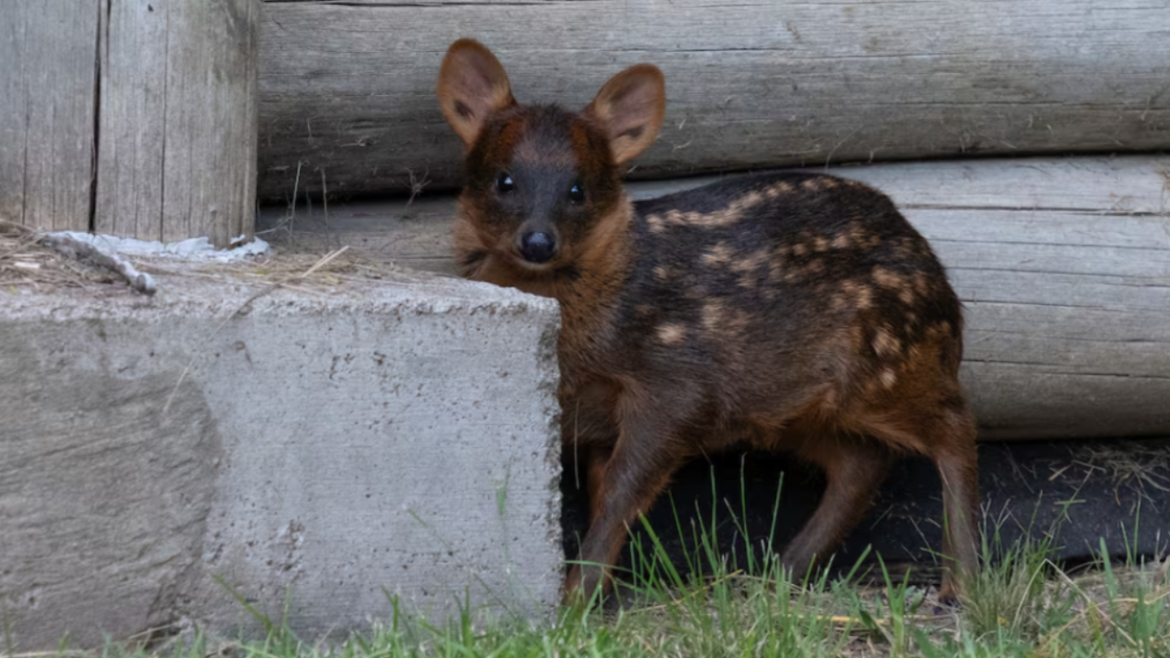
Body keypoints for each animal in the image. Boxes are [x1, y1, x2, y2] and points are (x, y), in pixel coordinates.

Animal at [437, 38, 978, 604]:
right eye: (504, 181)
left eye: (577, 190)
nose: (538, 241)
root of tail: (935, 273)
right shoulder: (599, 418)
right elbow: (605, 491)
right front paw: (594, 593)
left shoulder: (678, 384)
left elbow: (624, 491)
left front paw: (575, 600)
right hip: (792, 404)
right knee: (862, 462)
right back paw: (782, 572)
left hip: (893, 359)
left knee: (956, 429)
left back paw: (961, 582)